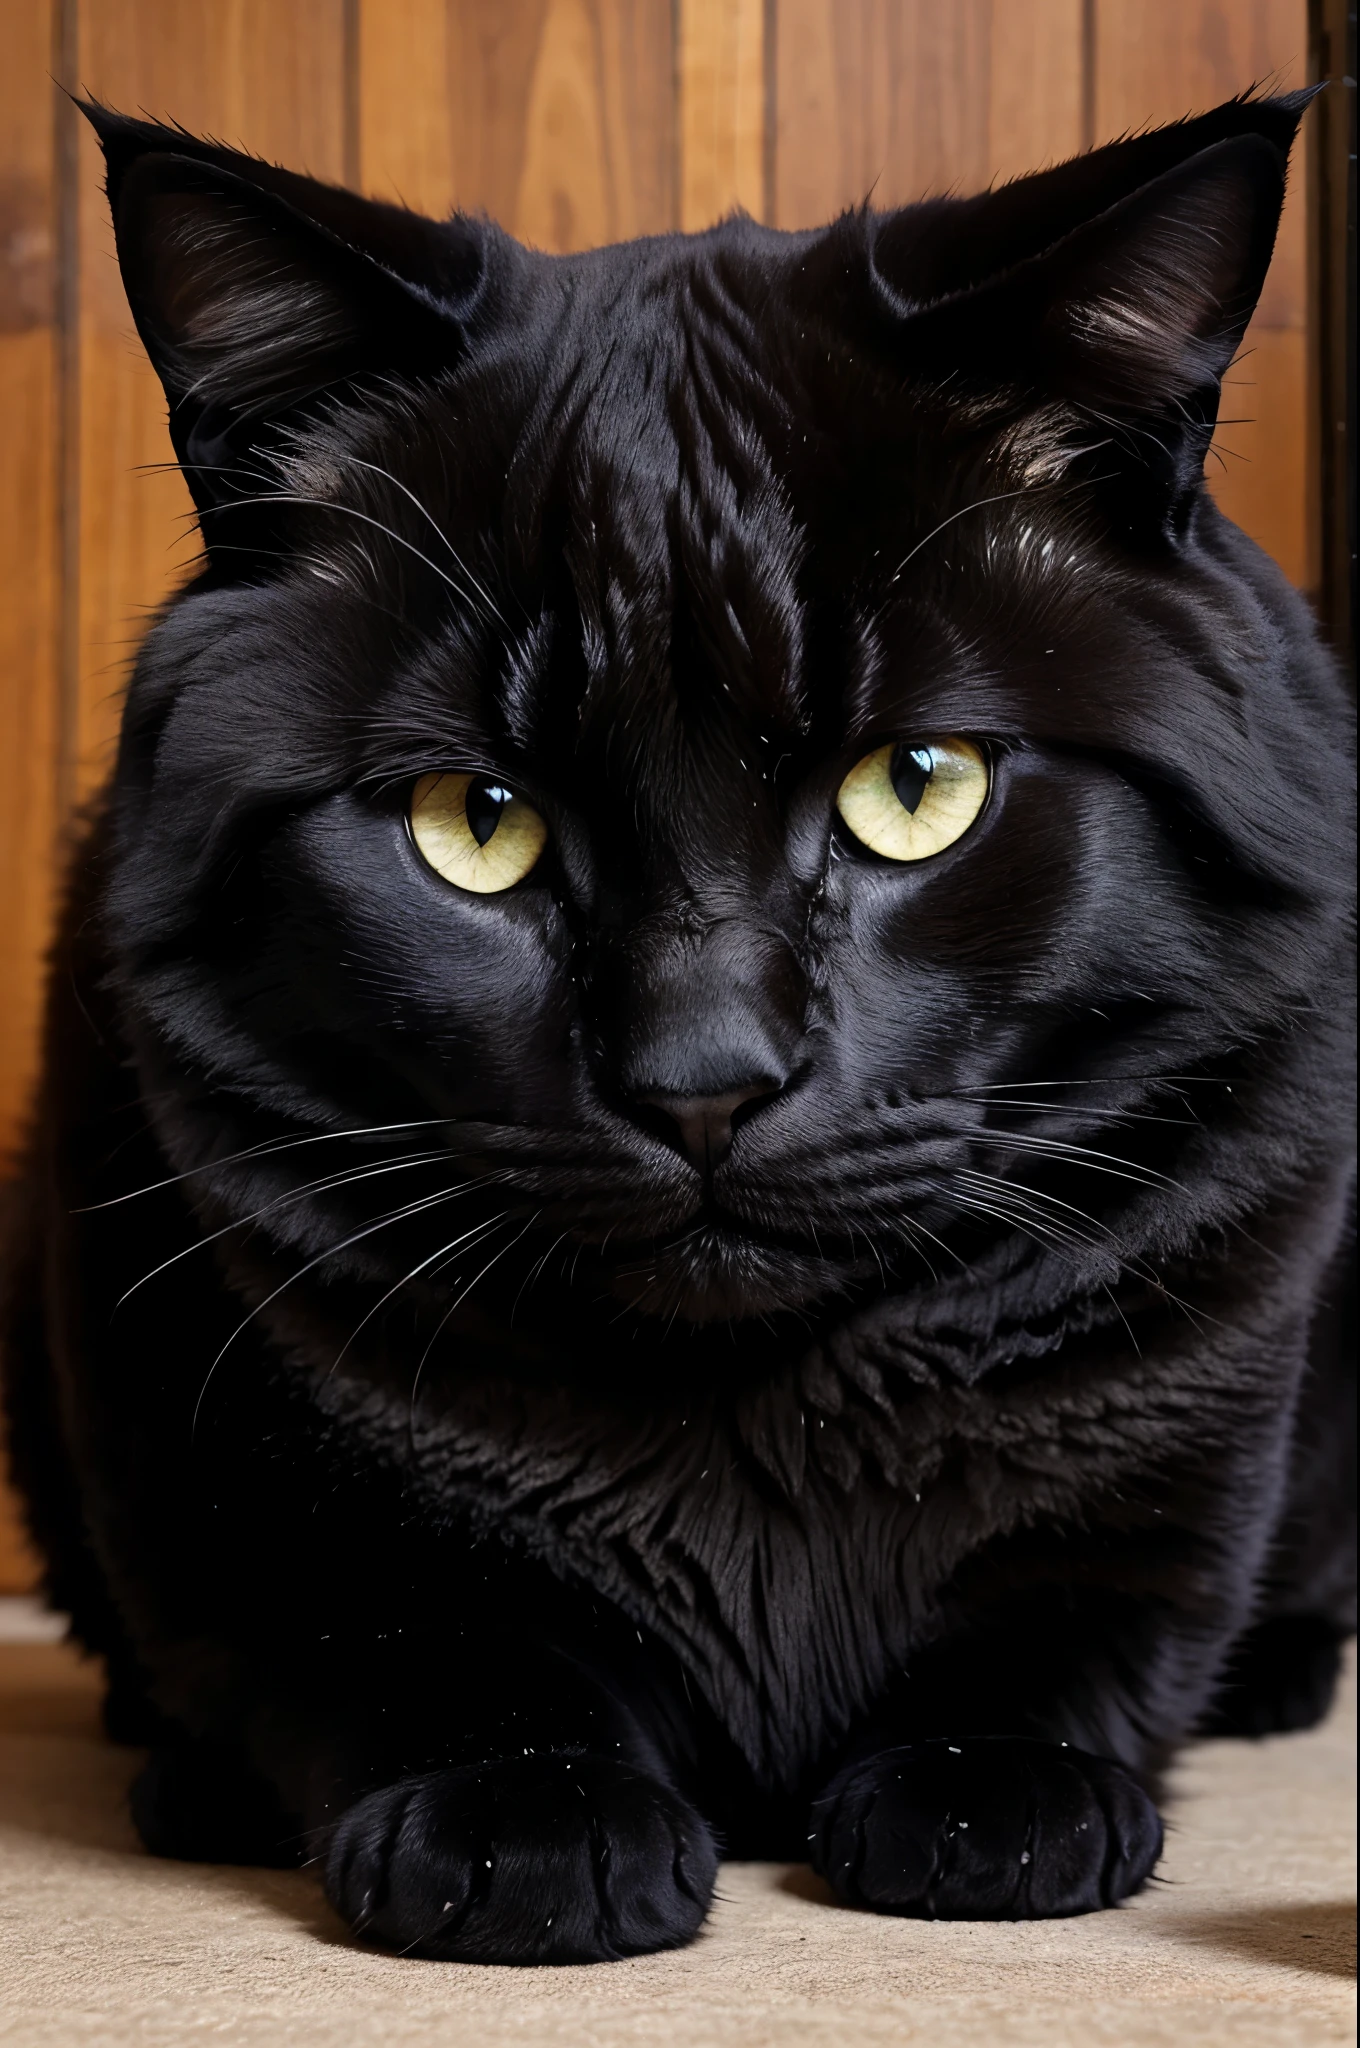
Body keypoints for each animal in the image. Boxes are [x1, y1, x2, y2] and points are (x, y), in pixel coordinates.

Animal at [5, 88, 1351, 1957]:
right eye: (475, 821)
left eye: (917, 787)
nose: (704, 1083)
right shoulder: (233, 1464)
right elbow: (406, 1627)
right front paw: (530, 1823)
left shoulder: (1173, 1436)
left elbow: (1074, 1619)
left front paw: (994, 1798)